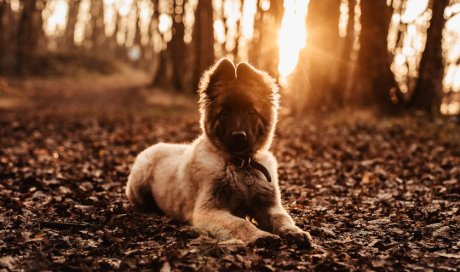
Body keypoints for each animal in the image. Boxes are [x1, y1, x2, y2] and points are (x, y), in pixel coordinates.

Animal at [126, 59, 312, 249]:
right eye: (225, 113)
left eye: (251, 112)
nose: (239, 136)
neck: (241, 165)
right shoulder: (208, 210)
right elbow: (241, 223)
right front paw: (260, 235)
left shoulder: (270, 205)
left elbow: (282, 218)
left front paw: (295, 232)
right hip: (139, 183)